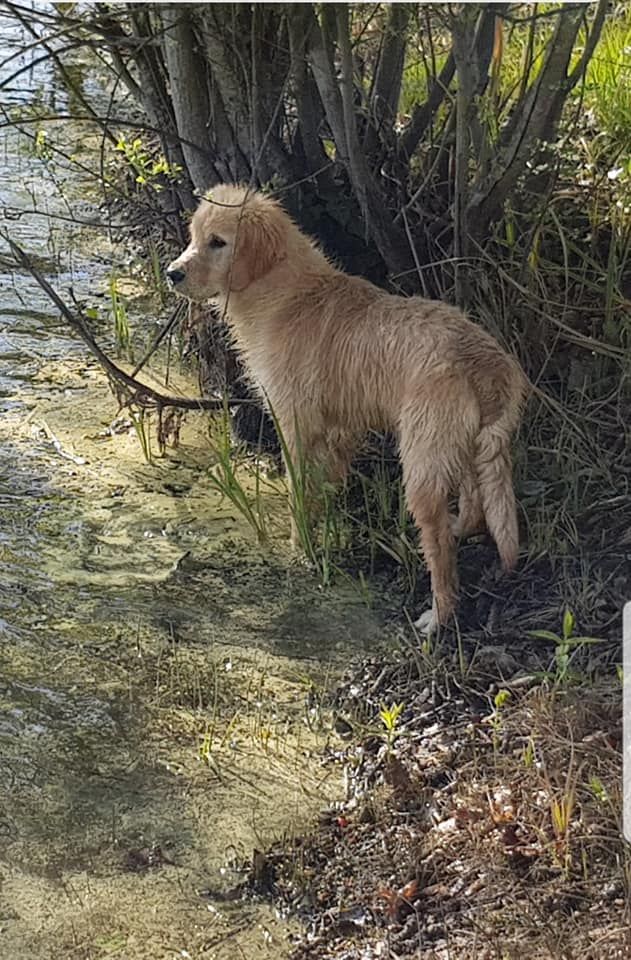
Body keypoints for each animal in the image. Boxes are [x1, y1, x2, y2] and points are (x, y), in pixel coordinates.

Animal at [168, 186, 528, 636]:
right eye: (195, 237)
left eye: (218, 242)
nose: (172, 274)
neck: (284, 293)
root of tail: (485, 360)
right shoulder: (339, 431)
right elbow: (325, 485)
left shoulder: (296, 424)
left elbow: (298, 493)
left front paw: (300, 548)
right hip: (458, 443)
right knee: (475, 505)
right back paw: (461, 527)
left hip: (422, 461)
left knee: (442, 548)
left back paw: (437, 616)